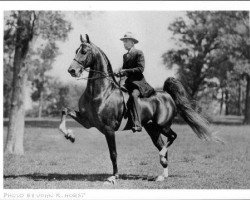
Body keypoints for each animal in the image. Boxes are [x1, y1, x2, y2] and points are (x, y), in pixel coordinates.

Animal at [58, 33, 219, 184]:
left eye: (84, 51)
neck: (101, 92)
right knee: (162, 145)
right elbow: (65, 110)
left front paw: (114, 176)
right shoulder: (88, 122)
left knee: (172, 137)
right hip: (152, 129)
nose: (72, 70)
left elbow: (113, 153)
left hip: (163, 125)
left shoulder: (109, 129)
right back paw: (162, 175)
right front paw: (69, 135)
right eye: (76, 50)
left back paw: (162, 159)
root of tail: (167, 95)